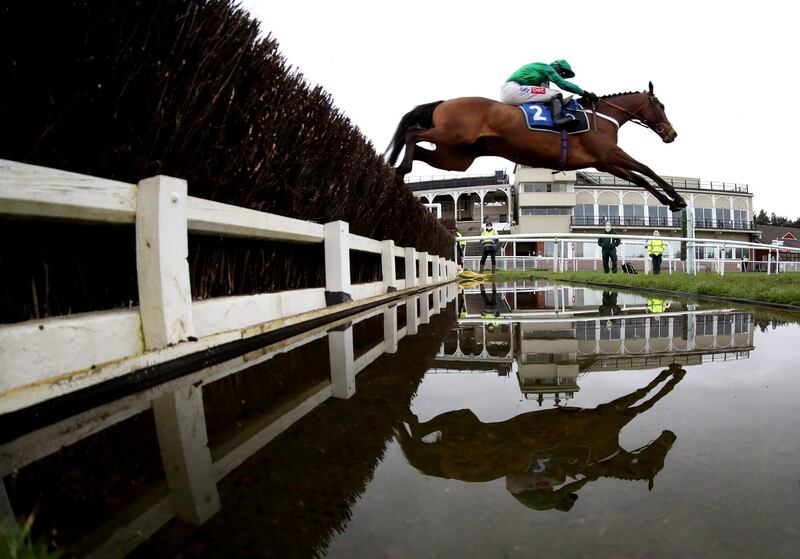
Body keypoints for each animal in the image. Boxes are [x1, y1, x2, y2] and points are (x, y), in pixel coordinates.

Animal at [388, 82, 688, 212]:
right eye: (661, 105)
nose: (671, 133)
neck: (603, 116)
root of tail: (444, 102)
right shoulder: (608, 153)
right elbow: (646, 169)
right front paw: (678, 199)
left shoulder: (603, 161)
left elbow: (639, 178)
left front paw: (669, 201)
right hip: (453, 135)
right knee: (413, 132)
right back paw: (399, 167)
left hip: (456, 157)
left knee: (421, 147)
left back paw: (399, 171)